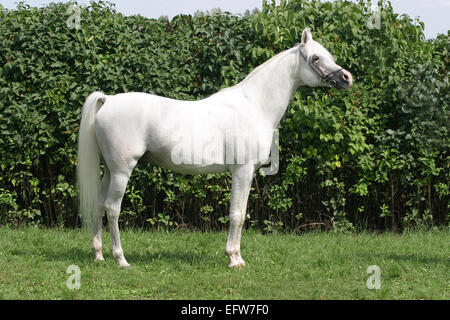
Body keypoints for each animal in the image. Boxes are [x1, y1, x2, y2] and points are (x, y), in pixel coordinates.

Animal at [76, 28, 352, 268]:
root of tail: (108, 100)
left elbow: (241, 213)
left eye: (329, 55)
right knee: (112, 209)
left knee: (98, 205)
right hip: (122, 171)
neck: (254, 105)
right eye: (316, 58)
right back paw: (121, 259)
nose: (346, 78)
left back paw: (99, 255)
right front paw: (234, 259)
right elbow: (236, 214)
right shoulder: (242, 171)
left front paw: (237, 257)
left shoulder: (247, 173)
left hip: (109, 169)